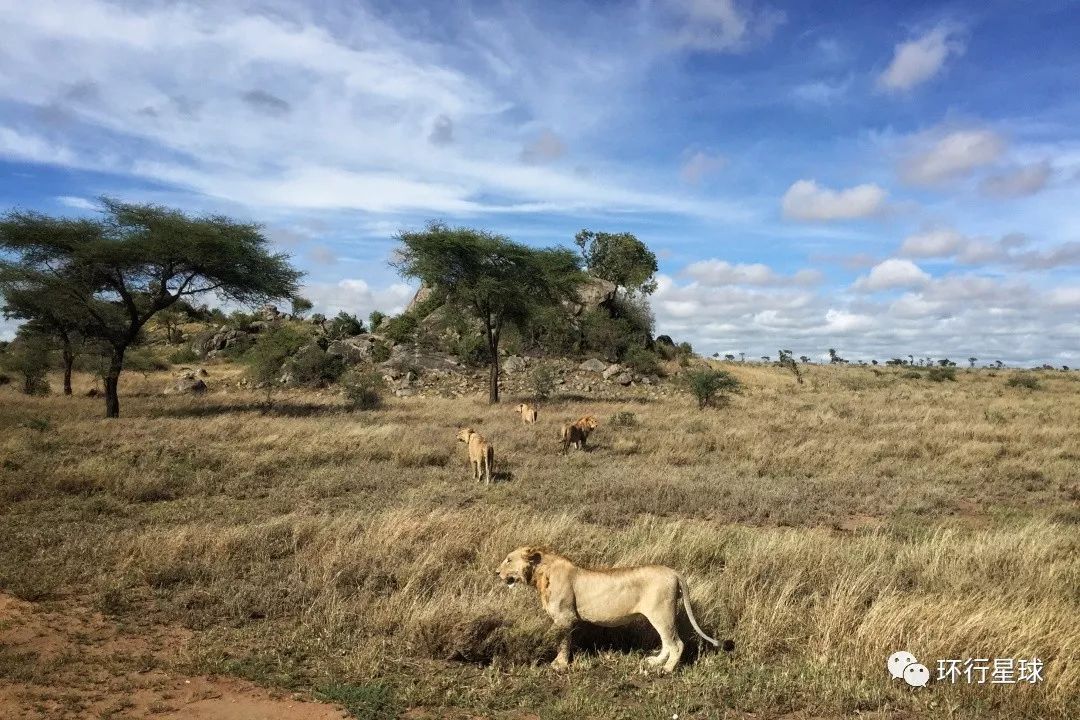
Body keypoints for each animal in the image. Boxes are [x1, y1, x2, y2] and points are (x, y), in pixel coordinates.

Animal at [494, 548, 717, 673]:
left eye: (509, 559)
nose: (496, 572)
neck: (540, 573)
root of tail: (673, 572)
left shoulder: (565, 617)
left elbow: (563, 642)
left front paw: (560, 664)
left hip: (661, 613)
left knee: (676, 643)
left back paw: (667, 669)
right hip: (659, 615)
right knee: (666, 642)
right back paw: (655, 662)